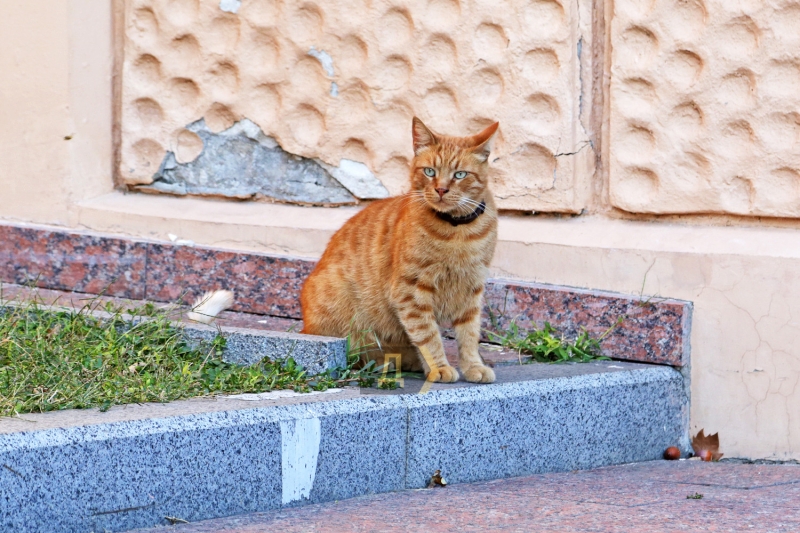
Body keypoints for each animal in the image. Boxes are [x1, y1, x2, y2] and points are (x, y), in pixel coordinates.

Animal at [302, 117, 500, 382]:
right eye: (429, 171)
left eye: (460, 174)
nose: (441, 189)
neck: (457, 231)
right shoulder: (412, 290)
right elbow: (428, 335)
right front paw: (439, 367)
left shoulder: (471, 289)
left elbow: (469, 334)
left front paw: (473, 366)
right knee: (360, 353)